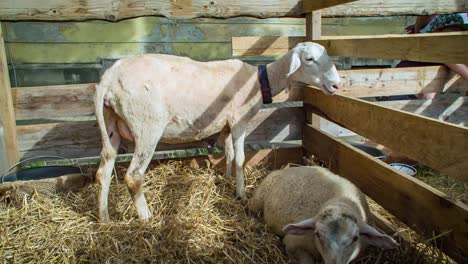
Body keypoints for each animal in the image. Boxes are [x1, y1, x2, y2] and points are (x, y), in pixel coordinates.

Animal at [93, 42, 340, 222]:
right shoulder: (239, 121)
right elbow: (240, 158)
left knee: (103, 170)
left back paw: (104, 219)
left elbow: (229, 153)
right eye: (309, 59)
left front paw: (227, 179)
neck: (260, 82)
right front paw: (241, 194)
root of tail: (108, 78)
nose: (337, 85)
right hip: (147, 124)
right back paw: (146, 217)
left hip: (111, 124)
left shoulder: (226, 126)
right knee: (133, 176)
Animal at [250, 166, 396, 262]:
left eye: (355, 238)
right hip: (257, 200)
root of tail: (289, 168)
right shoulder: (292, 243)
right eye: (317, 234)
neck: (342, 201)